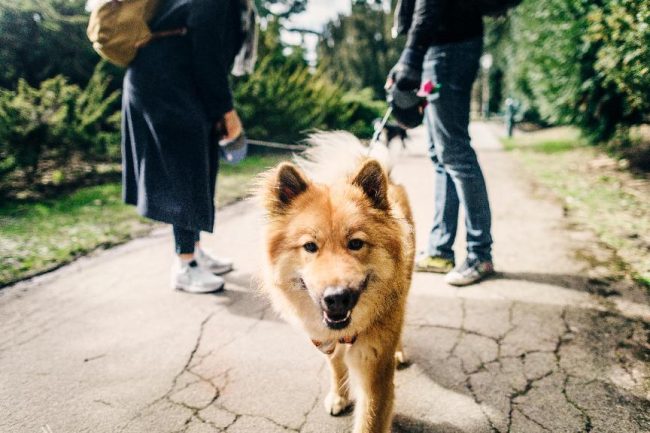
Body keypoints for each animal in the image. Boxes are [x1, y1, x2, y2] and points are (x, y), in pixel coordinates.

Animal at [256, 132, 412, 432]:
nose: (337, 297)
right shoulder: (325, 340)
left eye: (356, 244)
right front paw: (339, 396)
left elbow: (369, 420)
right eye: (310, 246)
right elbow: (336, 365)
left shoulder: (376, 374)